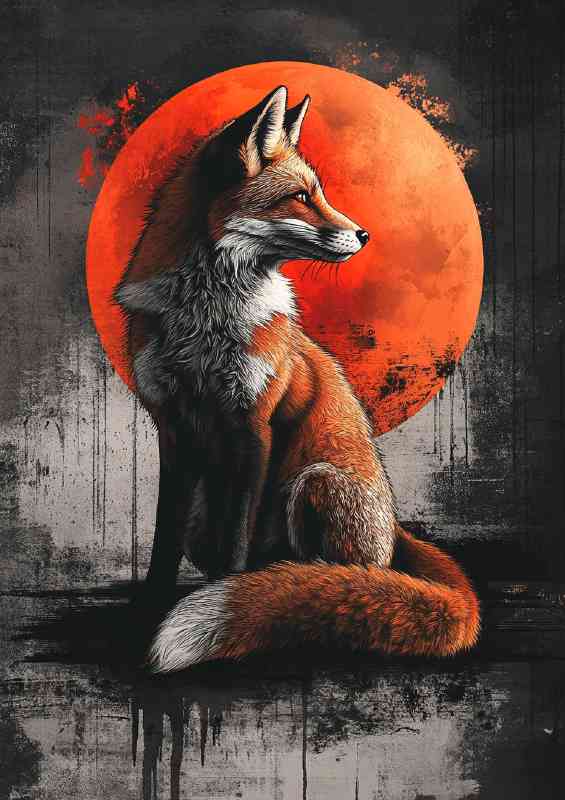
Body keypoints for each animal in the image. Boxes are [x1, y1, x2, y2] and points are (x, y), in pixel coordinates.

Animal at [114, 86, 480, 672]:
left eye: (320, 193)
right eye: (301, 197)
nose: (364, 234)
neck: (205, 321)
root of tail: (394, 528)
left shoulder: (253, 424)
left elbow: (236, 539)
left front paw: (232, 593)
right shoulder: (171, 425)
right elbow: (164, 536)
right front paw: (152, 602)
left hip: (316, 481)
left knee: (339, 573)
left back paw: (301, 590)